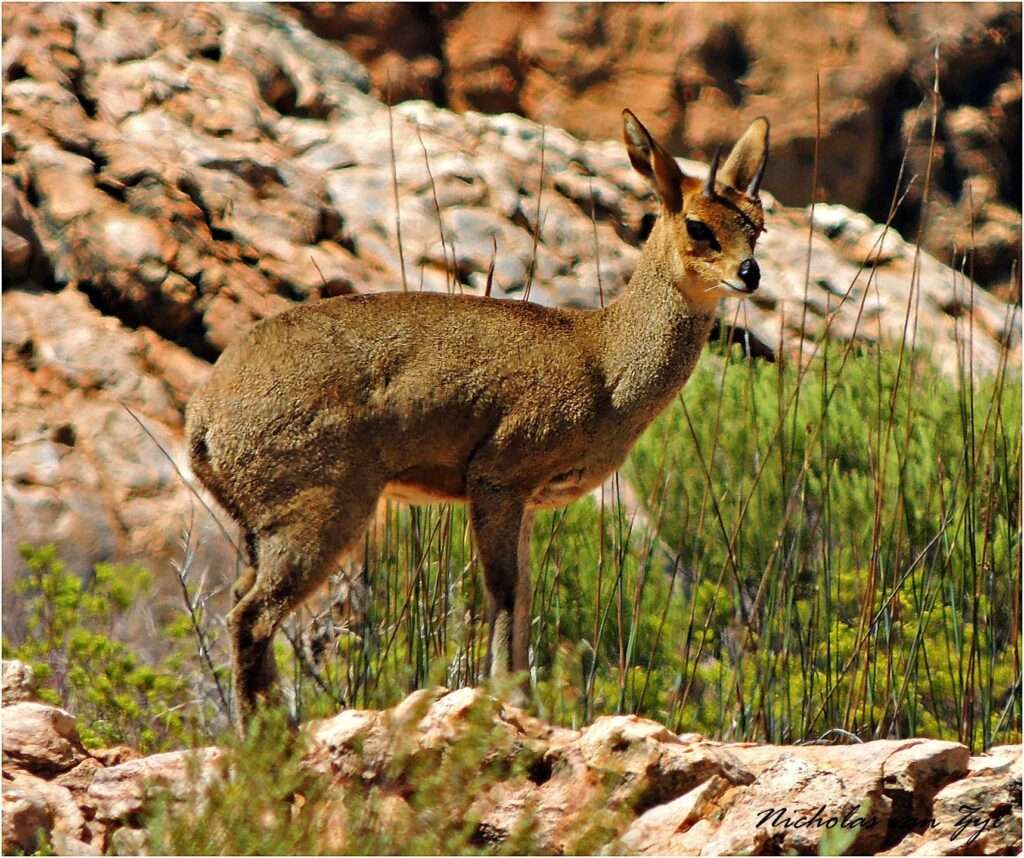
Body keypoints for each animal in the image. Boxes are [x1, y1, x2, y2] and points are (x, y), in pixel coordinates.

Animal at [186, 109, 770, 724]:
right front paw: (507, 697)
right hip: (318, 511)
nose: (749, 273)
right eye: (699, 226)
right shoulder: (498, 478)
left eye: (758, 225)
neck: (603, 362)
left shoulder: (528, 501)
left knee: (243, 605)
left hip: (261, 528)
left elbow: (524, 593)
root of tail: (203, 418)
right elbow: (504, 591)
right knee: (252, 616)